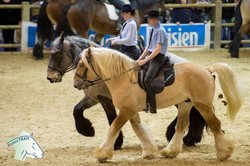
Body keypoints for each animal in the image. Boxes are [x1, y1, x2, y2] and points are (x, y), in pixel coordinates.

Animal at [47, 34, 207, 148]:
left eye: (57, 54)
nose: (50, 77)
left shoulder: (106, 100)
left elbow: (111, 119)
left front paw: (116, 142)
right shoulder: (93, 98)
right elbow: (77, 110)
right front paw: (87, 130)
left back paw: (179, 135)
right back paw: (184, 136)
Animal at [73, 46, 243, 162]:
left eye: (81, 64)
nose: (76, 84)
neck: (123, 78)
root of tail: (207, 70)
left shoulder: (126, 110)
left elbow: (113, 128)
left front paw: (102, 153)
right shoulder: (131, 110)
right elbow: (138, 129)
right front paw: (149, 151)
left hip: (202, 105)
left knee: (214, 124)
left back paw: (224, 153)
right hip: (185, 105)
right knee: (181, 126)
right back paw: (170, 151)